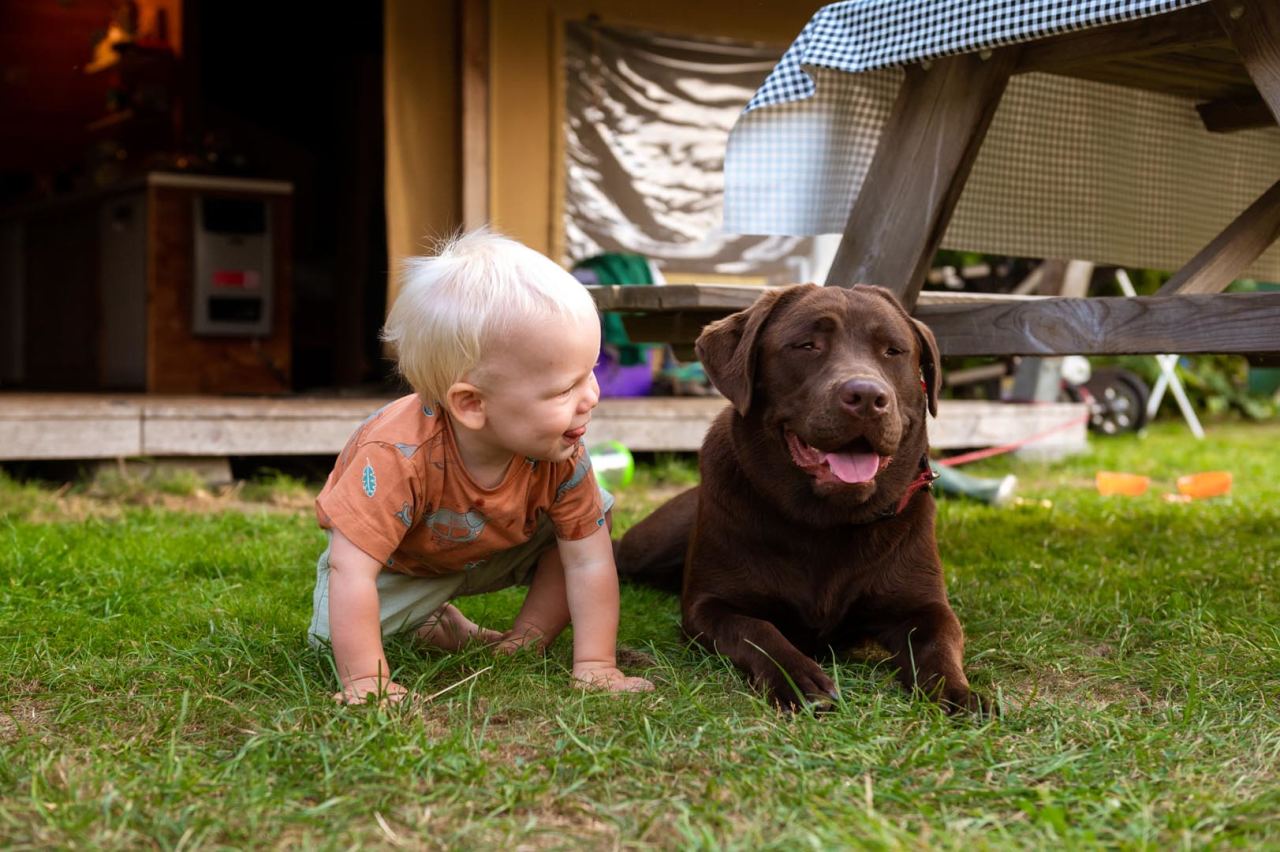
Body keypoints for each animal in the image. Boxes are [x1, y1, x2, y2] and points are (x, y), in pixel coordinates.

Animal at [619, 280, 988, 711]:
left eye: (893, 351)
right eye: (808, 345)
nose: (867, 397)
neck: (826, 521)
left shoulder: (925, 606)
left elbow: (939, 643)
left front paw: (959, 695)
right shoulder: (707, 606)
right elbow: (757, 631)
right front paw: (798, 679)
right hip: (650, 546)